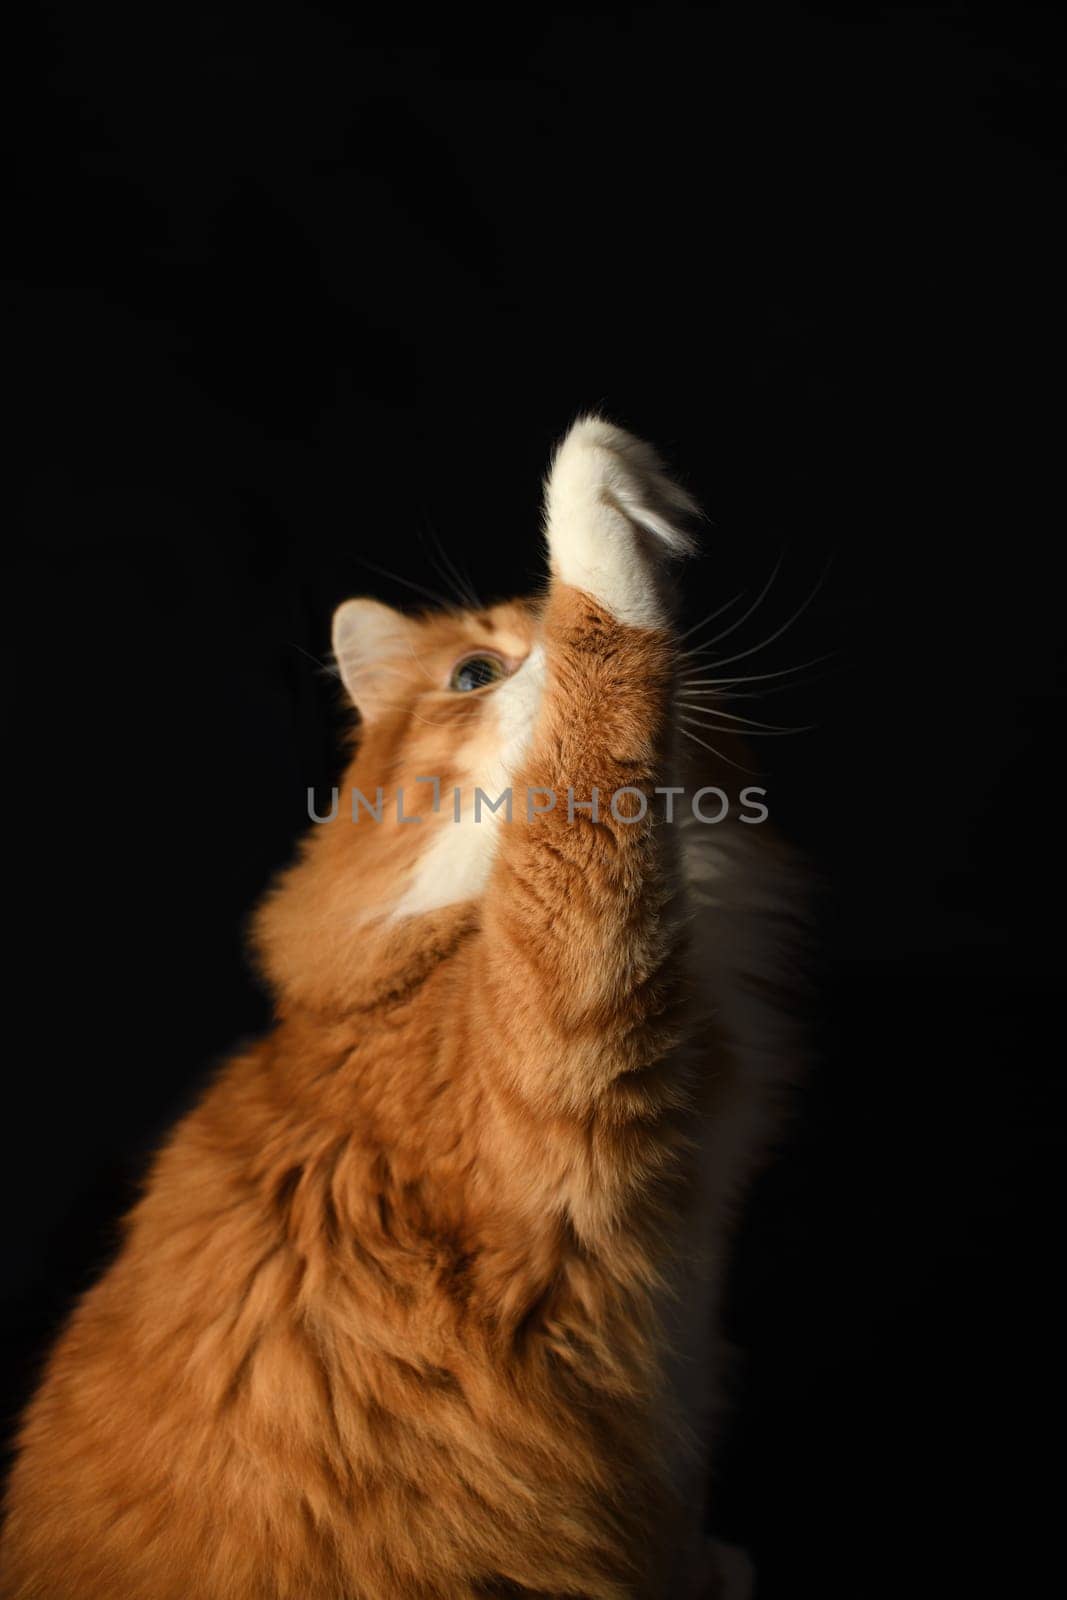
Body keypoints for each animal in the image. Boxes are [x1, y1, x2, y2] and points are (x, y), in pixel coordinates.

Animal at [0, 419, 799, 1593]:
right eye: (473, 672)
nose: (534, 657)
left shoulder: (685, 1333)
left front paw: (700, 1566)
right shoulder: (560, 1032)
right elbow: (589, 750)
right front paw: (596, 489)